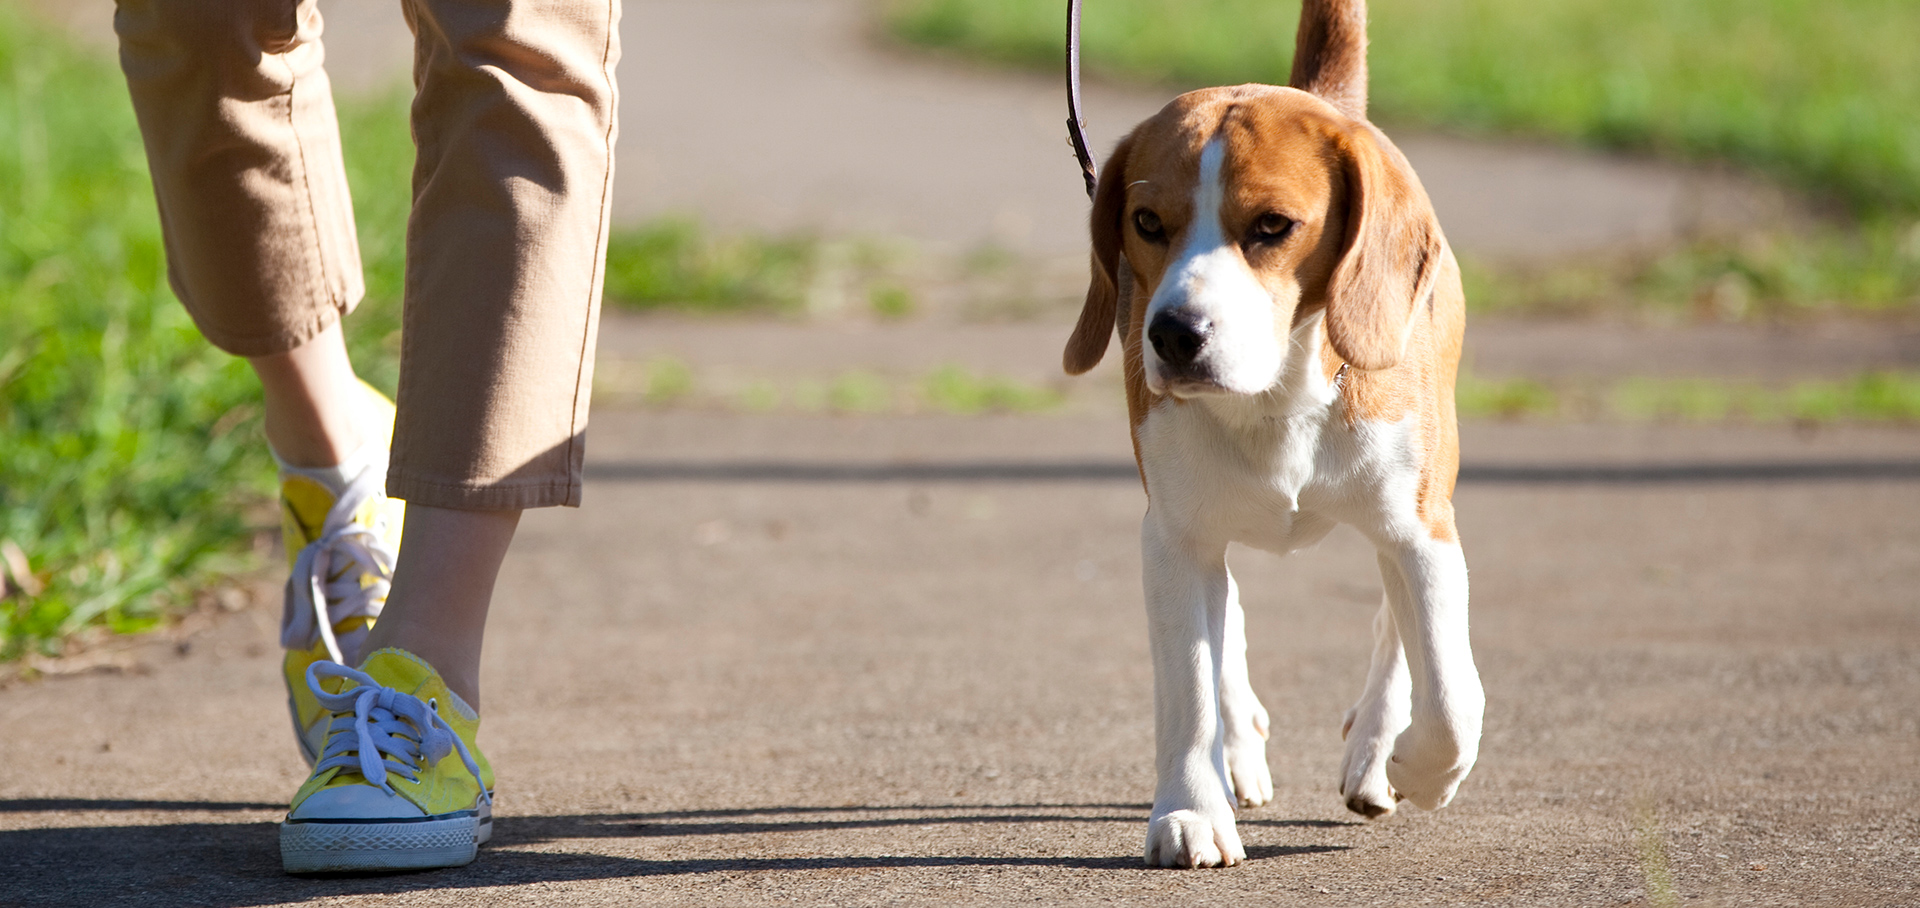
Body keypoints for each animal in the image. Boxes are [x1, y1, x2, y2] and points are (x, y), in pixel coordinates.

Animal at [1067, 0, 1482, 863]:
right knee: (1226, 626)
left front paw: (1415, 768)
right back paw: (1241, 751)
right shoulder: (1173, 540)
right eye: (1146, 222)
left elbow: (1451, 697)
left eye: (1272, 226)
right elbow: (1188, 688)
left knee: (1396, 624)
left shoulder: (1423, 532)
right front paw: (1192, 812)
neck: (1275, 399)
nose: (1175, 334)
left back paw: (1375, 750)